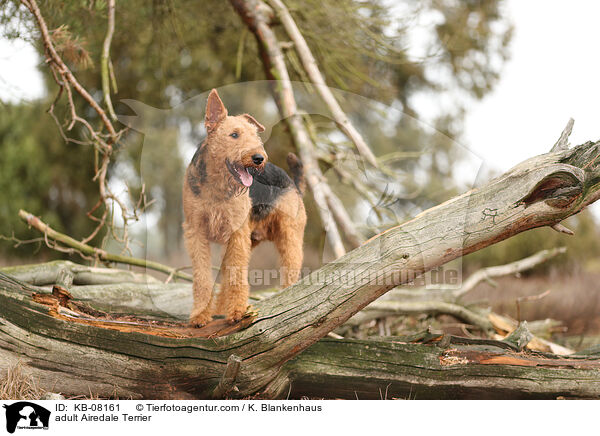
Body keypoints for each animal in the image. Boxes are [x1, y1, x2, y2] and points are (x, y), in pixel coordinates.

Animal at [182, 89, 304, 328]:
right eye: (234, 135)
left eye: (256, 136)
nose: (258, 158)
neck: (217, 186)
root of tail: (292, 182)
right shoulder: (196, 231)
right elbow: (202, 277)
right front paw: (200, 315)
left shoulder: (236, 232)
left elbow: (236, 275)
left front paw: (238, 312)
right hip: (252, 238)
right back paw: (220, 309)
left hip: (289, 237)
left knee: (290, 272)